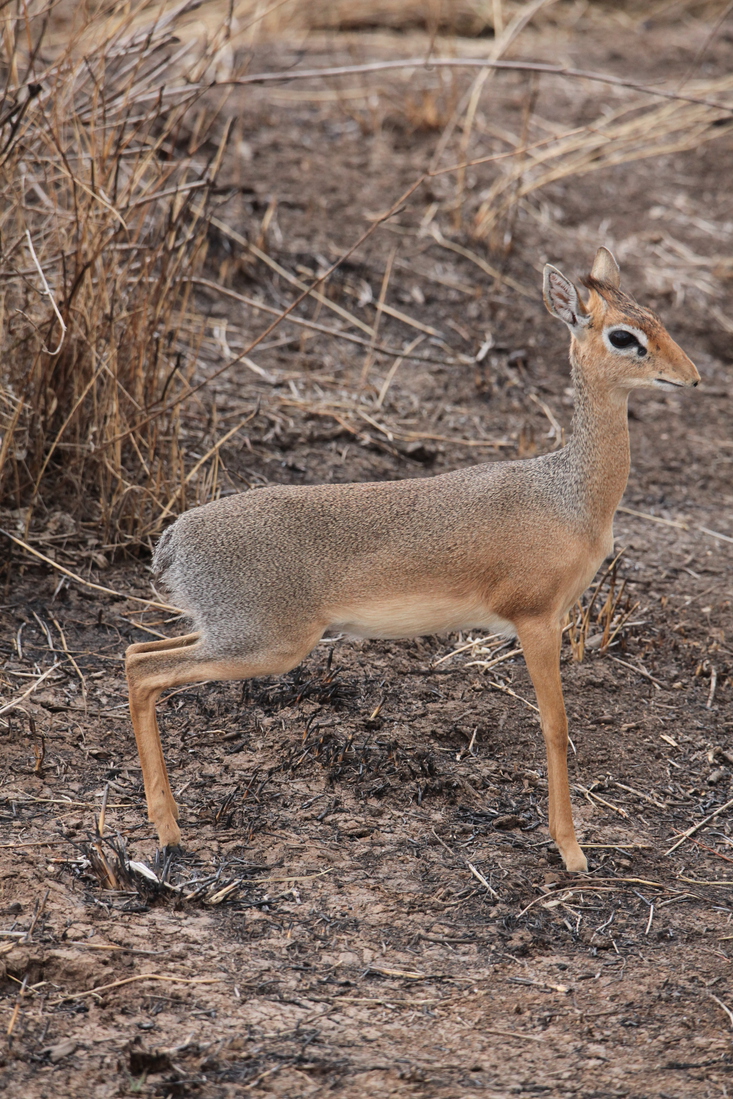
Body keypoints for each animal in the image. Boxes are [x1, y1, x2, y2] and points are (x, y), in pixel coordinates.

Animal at [124, 247, 698, 866]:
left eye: (655, 318)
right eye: (624, 336)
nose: (692, 377)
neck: (568, 493)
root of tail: (174, 540)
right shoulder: (536, 619)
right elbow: (555, 727)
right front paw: (571, 852)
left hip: (227, 633)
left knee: (135, 654)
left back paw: (168, 825)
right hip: (266, 645)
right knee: (148, 673)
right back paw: (167, 833)